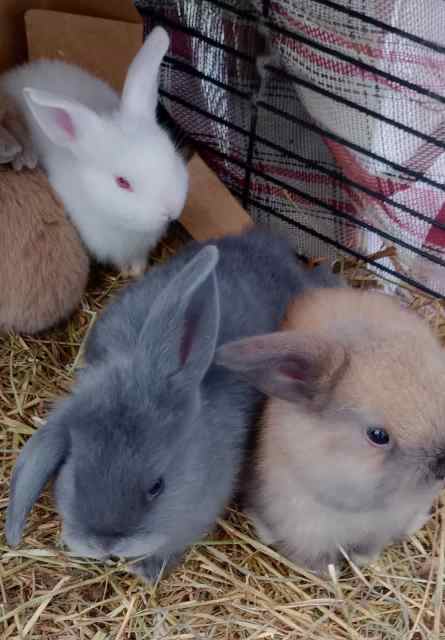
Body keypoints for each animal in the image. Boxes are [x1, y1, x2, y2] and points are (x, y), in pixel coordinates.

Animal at [216, 286, 445, 574]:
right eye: (378, 435)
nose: (441, 465)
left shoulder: (379, 531)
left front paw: (362, 561)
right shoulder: (307, 532)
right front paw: (327, 573)